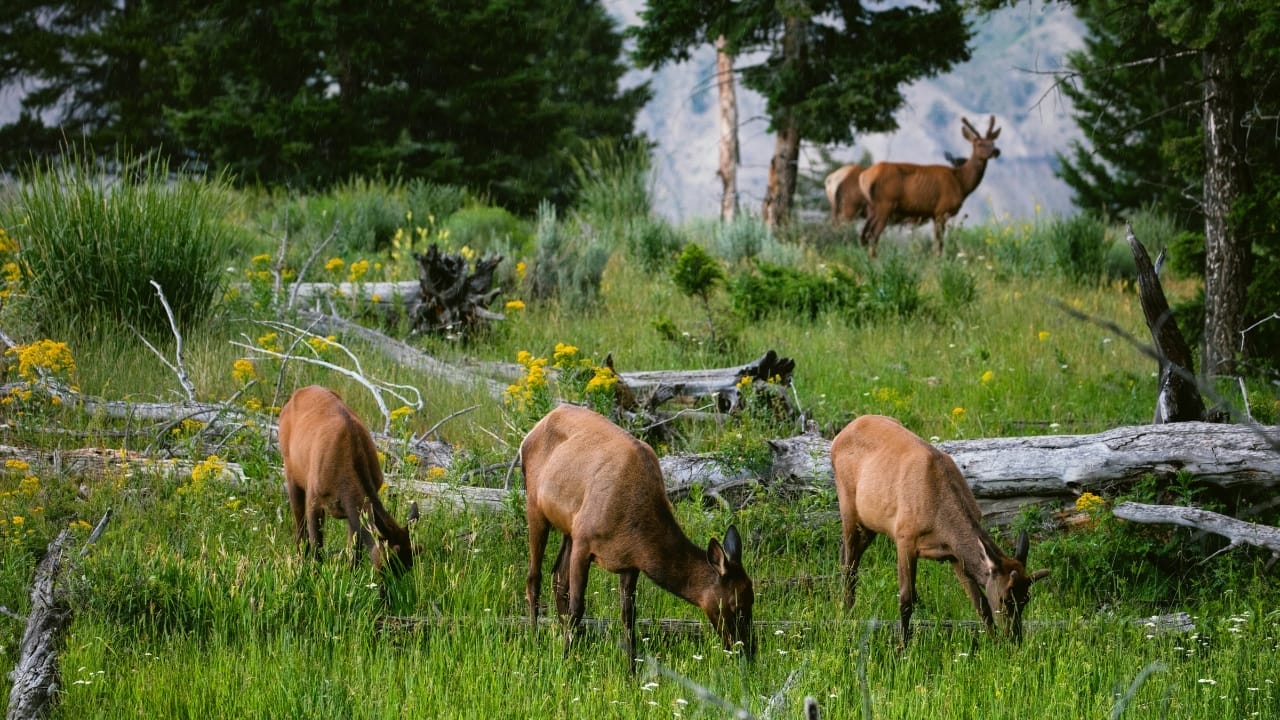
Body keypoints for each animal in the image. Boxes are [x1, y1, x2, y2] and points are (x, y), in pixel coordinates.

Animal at [279, 385, 420, 579]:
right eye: (387, 564)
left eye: (409, 565)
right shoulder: (314, 499)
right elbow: (317, 545)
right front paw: (315, 577)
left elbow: (355, 550)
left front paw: (352, 576)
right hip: (291, 474)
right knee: (299, 529)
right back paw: (299, 564)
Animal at [521, 403, 755, 673]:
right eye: (736, 606)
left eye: (753, 601)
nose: (748, 653)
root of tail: (532, 430)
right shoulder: (584, 540)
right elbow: (578, 607)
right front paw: (566, 662)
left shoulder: (629, 563)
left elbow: (628, 617)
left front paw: (632, 671)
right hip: (536, 506)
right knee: (534, 578)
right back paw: (536, 640)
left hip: (567, 527)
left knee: (557, 578)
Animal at [830, 414, 1049, 647]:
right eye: (1004, 598)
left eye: (1026, 598)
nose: (1014, 639)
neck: (940, 521)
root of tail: (839, 436)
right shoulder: (904, 537)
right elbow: (906, 599)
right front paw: (902, 647)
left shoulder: (954, 555)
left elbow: (980, 603)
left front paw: (992, 643)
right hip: (847, 506)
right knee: (849, 566)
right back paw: (847, 616)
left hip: (870, 521)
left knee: (845, 555)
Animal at [857, 115, 1002, 257]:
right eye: (979, 144)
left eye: (993, 142)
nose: (996, 151)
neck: (961, 183)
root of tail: (864, 176)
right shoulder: (941, 210)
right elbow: (939, 243)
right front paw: (938, 261)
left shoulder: (934, 214)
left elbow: (936, 243)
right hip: (886, 203)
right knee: (873, 235)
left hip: (872, 208)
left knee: (864, 235)